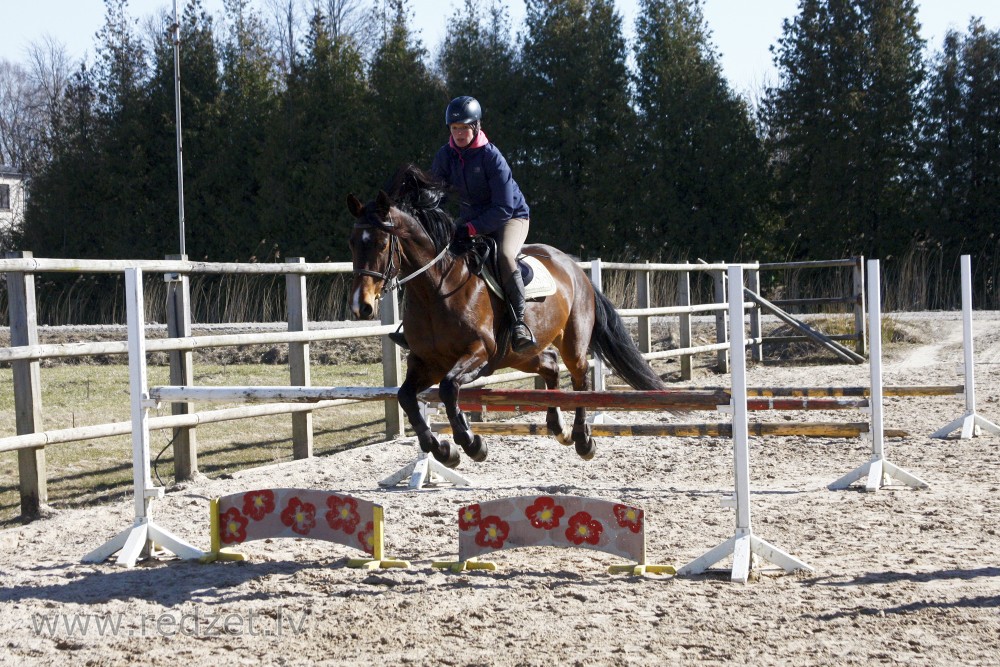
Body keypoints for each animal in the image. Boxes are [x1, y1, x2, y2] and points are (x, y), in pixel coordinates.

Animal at [348, 166, 668, 468]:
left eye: (381, 244)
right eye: (352, 244)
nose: (361, 306)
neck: (436, 290)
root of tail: (575, 267)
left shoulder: (479, 351)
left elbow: (449, 388)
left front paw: (471, 442)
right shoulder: (426, 361)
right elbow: (406, 397)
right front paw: (443, 451)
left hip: (571, 342)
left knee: (578, 379)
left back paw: (582, 439)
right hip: (518, 355)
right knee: (550, 365)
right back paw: (558, 427)